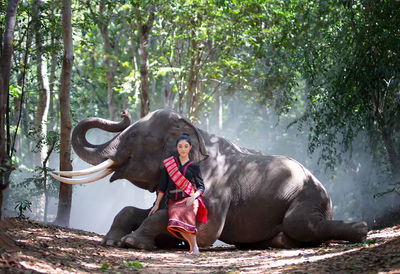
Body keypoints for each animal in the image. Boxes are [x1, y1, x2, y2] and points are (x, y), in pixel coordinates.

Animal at [52, 108, 368, 249]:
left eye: (133, 137)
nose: (123, 112)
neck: (195, 131)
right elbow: (139, 210)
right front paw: (111, 241)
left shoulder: (215, 184)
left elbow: (206, 230)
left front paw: (132, 242)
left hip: (308, 197)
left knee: (299, 223)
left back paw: (361, 229)